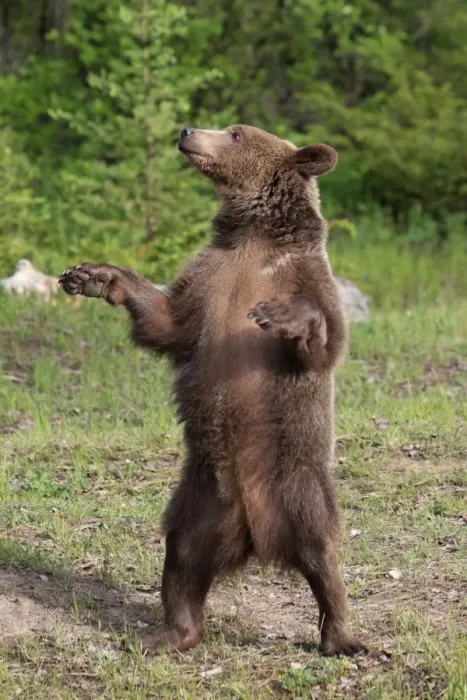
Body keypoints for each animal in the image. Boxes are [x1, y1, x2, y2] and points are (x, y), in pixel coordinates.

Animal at [59, 125, 367, 657]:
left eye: (236, 133)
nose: (187, 131)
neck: (255, 234)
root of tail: (256, 536)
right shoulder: (208, 279)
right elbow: (168, 322)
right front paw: (94, 275)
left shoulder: (307, 276)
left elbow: (324, 340)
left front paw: (280, 314)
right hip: (201, 499)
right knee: (182, 556)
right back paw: (169, 632)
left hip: (297, 481)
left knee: (321, 553)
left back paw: (341, 636)